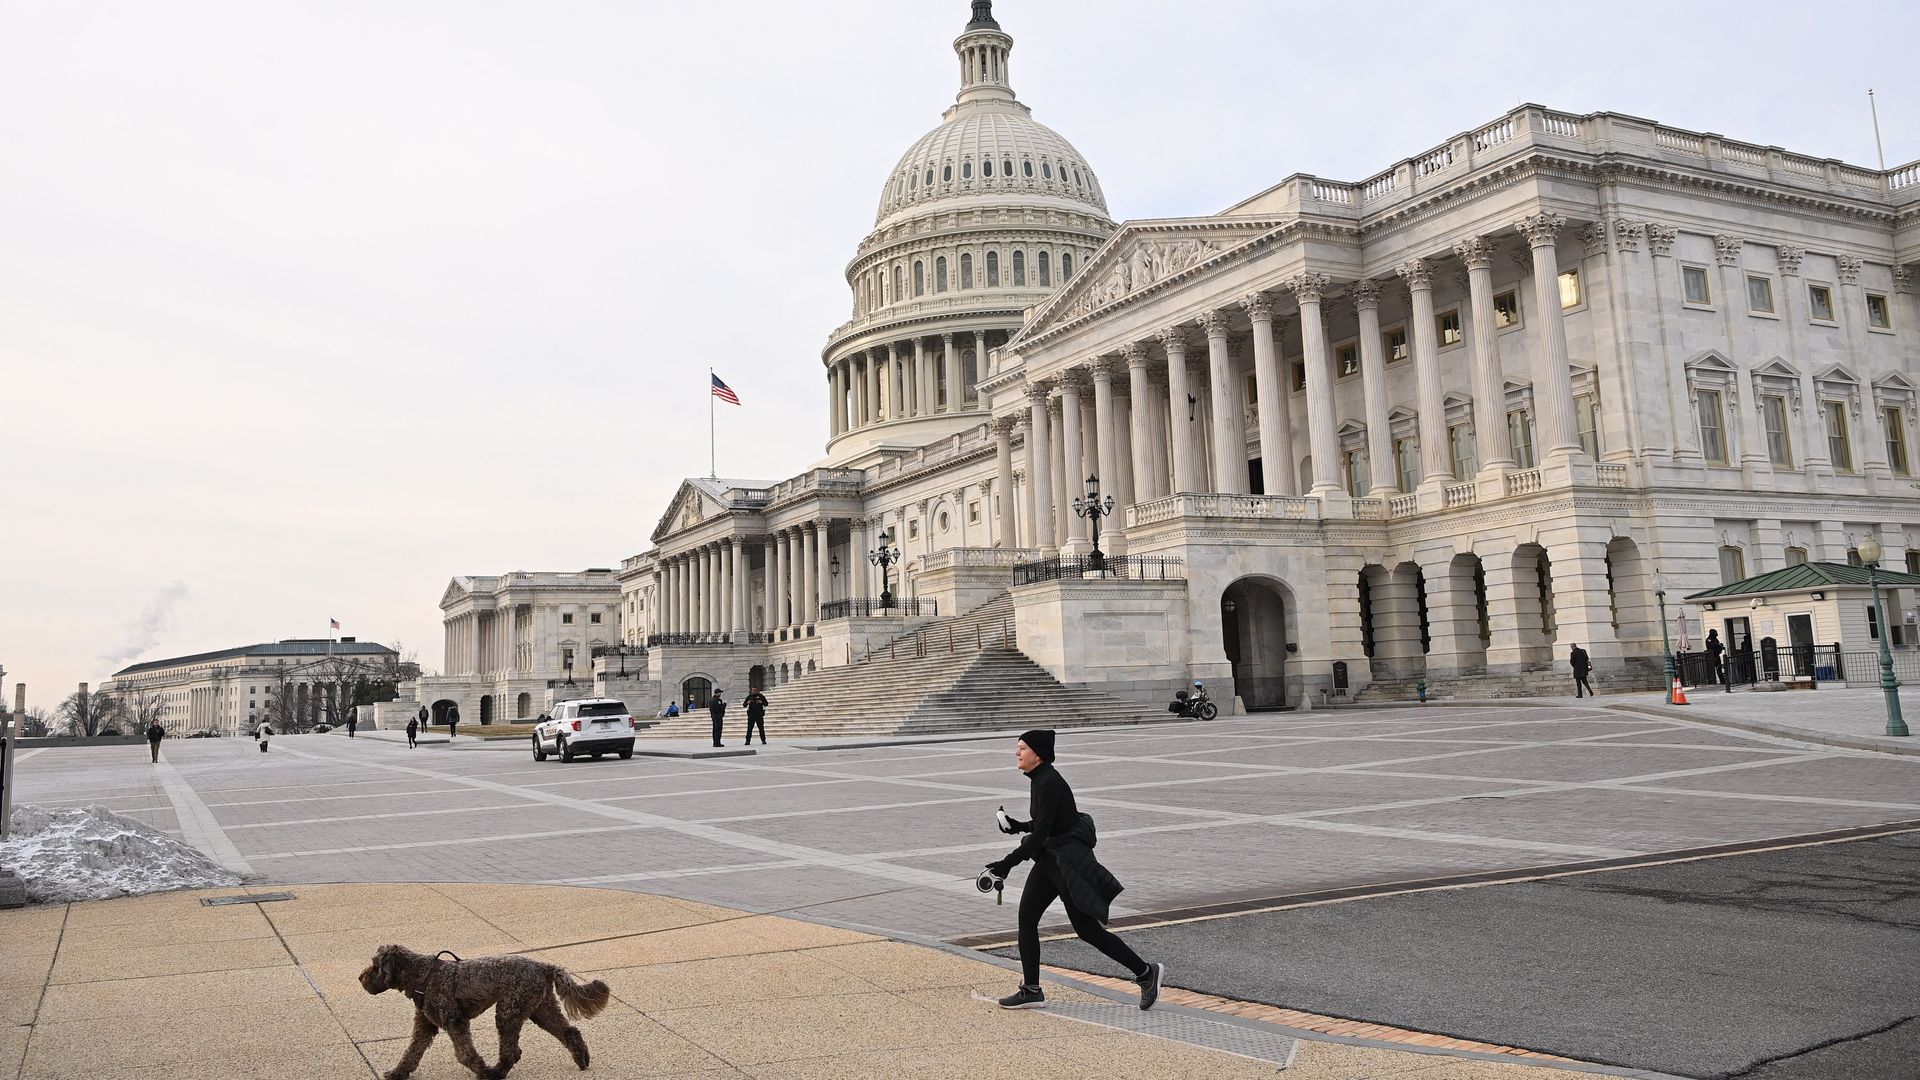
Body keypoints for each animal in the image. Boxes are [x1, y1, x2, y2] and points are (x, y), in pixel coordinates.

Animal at [355, 937, 606, 1068]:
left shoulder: (455, 1022)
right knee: (569, 1032)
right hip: (541, 1009)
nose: (360, 978)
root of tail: (544, 966)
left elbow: (466, 1054)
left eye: (375, 966)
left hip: (509, 1012)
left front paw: (480, 1070)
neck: (423, 974)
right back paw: (582, 1059)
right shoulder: (425, 1026)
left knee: (510, 1051)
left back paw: (495, 1073)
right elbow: (411, 1053)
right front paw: (397, 1074)